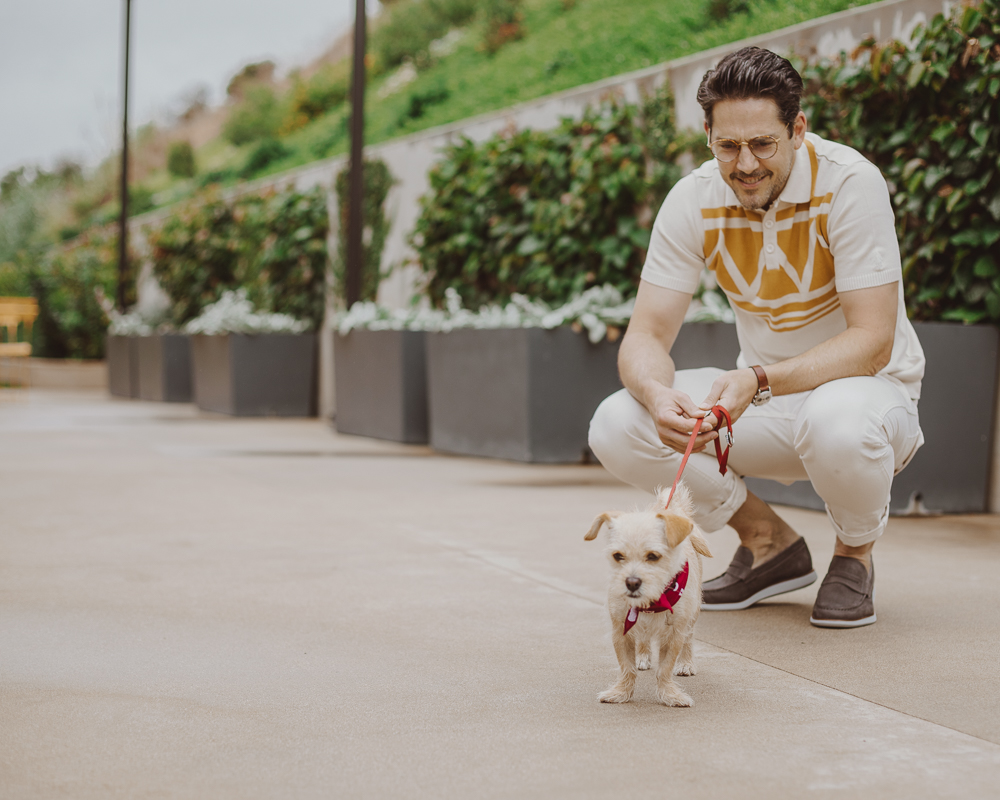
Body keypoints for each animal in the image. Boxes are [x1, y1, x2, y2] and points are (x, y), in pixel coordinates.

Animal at [584, 482, 716, 708]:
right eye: (618, 556)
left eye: (653, 556)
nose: (631, 583)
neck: (653, 601)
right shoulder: (621, 630)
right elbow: (626, 667)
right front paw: (621, 692)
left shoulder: (675, 634)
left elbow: (665, 668)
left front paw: (669, 695)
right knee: (644, 639)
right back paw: (643, 656)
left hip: (693, 615)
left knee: (689, 638)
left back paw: (686, 663)